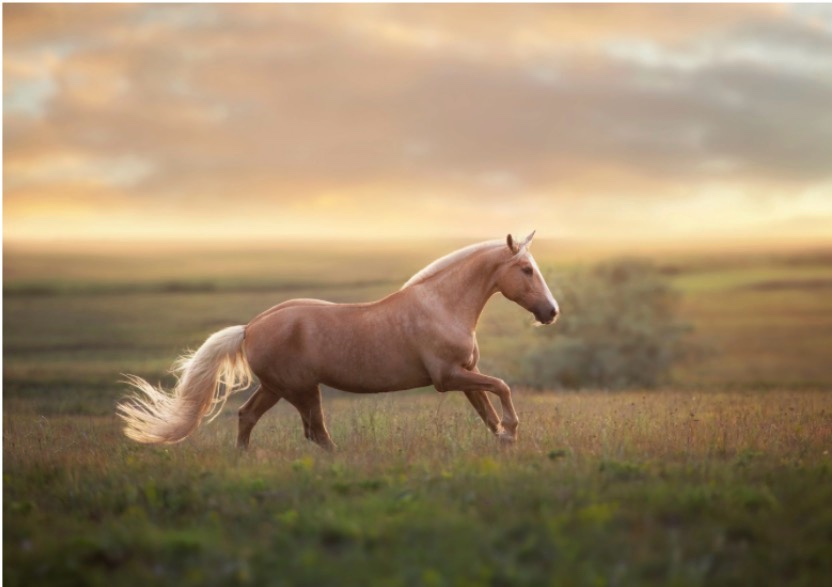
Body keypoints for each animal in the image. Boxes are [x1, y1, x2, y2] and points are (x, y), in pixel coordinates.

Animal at [117, 231, 559, 450]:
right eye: (525, 269)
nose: (551, 311)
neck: (441, 305)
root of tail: (251, 327)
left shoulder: (466, 373)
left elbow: (487, 410)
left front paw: (505, 441)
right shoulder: (448, 377)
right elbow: (502, 388)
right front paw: (513, 432)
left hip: (276, 388)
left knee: (249, 417)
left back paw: (244, 460)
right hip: (300, 390)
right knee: (316, 433)